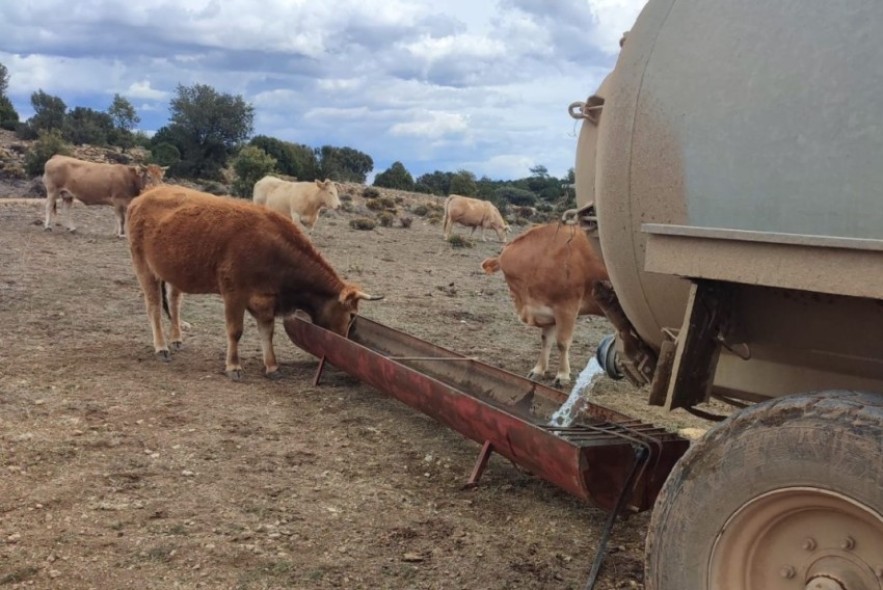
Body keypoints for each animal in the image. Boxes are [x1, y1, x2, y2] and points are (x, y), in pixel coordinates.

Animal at [126, 187, 382, 386]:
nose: (345, 343)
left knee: (174, 301)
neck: (272, 248)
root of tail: (141, 198)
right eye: (351, 314)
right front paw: (234, 367)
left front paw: (272, 366)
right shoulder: (234, 294)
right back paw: (161, 347)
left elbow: (267, 333)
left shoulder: (265, 300)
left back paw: (176, 338)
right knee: (154, 308)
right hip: (144, 267)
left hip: (172, 272)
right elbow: (235, 331)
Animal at [480, 224, 612, 386]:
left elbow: (562, 343)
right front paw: (538, 370)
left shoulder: (567, 307)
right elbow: (546, 341)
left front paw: (562, 375)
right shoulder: (547, 311)